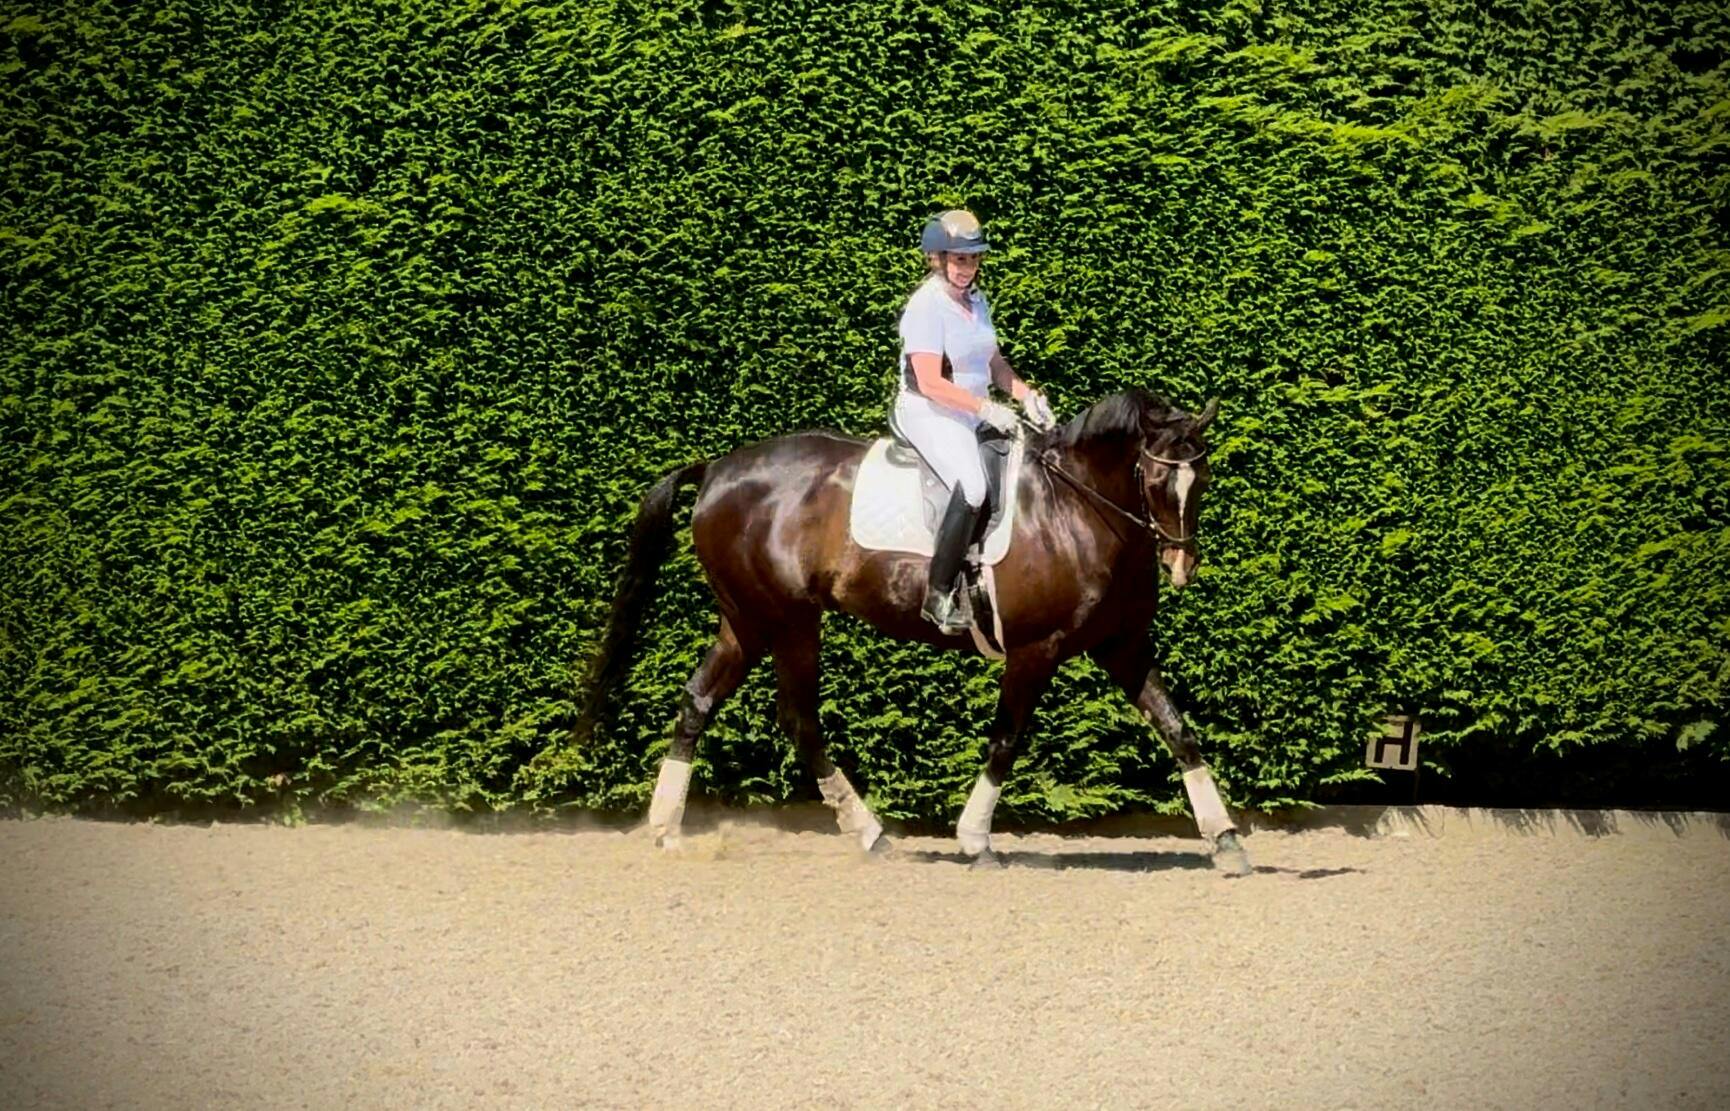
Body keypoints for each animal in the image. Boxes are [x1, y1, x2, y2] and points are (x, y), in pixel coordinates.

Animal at [573, 388, 1250, 875]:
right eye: (1157, 480)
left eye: (1203, 480)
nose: (1181, 564)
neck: (1075, 510)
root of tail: (717, 468)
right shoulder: (1035, 651)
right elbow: (1006, 741)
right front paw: (975, 840)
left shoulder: (1123, 647)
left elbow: (1178, 730)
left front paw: (1226, 840)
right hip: (788, 620)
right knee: (799, 718)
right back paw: (869, 833)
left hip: (747, 623)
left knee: (701, 700)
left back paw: (668, 828)